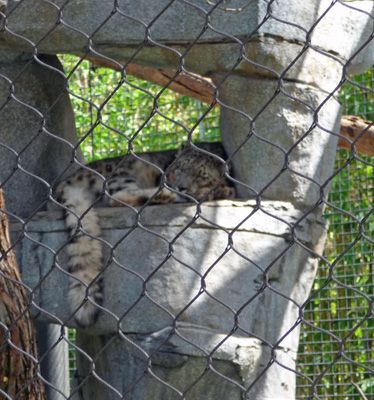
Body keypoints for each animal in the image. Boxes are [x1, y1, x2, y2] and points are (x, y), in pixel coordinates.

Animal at [49, 142, 234, 326]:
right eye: (179, 168)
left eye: (200, 175)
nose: (181, 187)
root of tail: (69, 181)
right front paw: (212, 192)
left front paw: (220, 190)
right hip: (122, 178)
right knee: (117, 196)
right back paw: (168, 195)